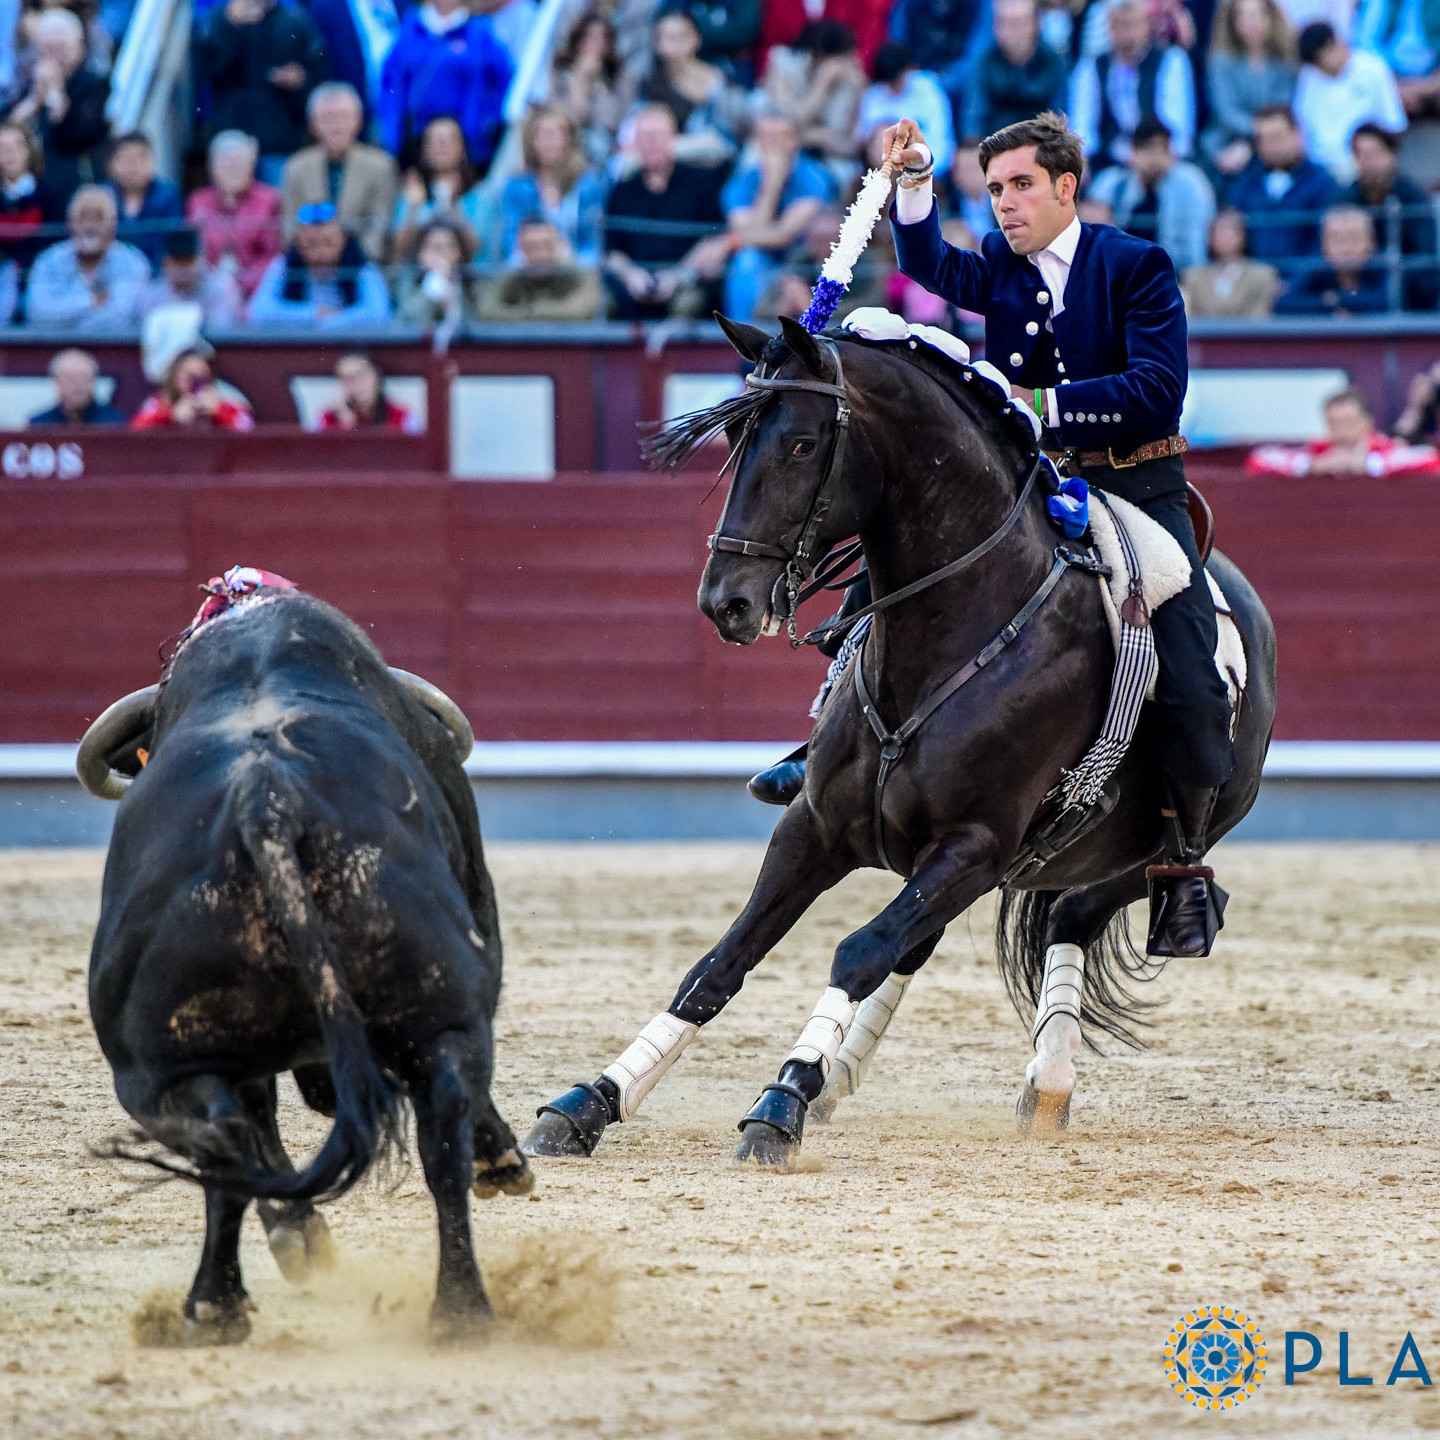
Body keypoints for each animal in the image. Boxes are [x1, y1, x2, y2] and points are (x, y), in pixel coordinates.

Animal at [523, 312, 1276, 1169]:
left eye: (802, 445)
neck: (951, 636)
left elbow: (856, 950)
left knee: (1067, 919)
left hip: (1140, 850)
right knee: (925, 943)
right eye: (737, 440)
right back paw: (843, 1075)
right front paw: (592, 1100)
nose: (727, 602)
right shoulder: (814, 827)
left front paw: (779, 1102)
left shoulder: (977, 844)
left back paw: (1042, 1083)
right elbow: (722, 961)